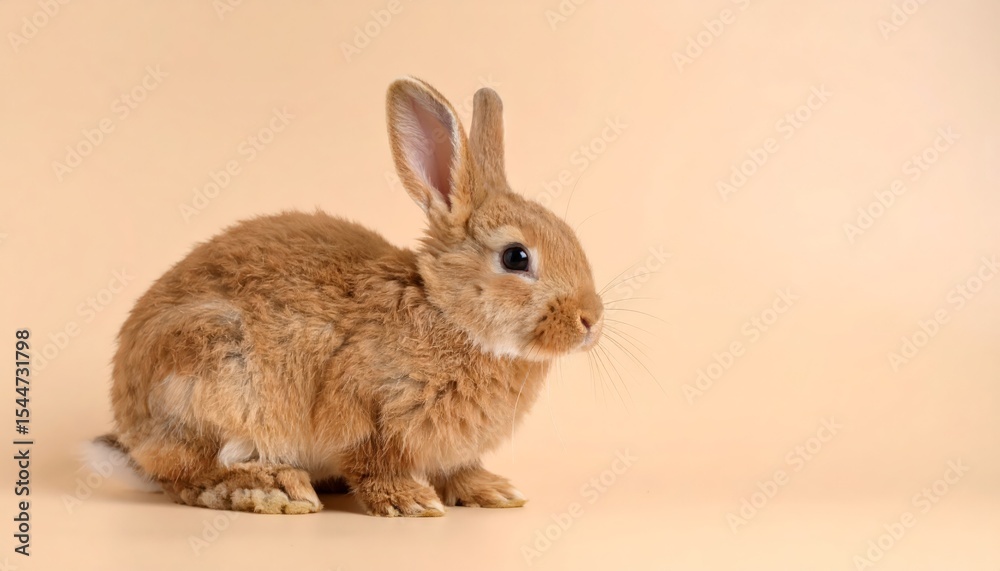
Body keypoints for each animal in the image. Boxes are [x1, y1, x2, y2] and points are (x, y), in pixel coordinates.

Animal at [91, 77, 605, 516]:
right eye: (516, 257)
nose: (591, 320)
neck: (445, 311)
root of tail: (131, 428)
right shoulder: (363, 404)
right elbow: (371, 459)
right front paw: (408, 501)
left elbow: (458, 469)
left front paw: (493, 491)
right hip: (211, 373)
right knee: (188, 476)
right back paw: (274, 488)